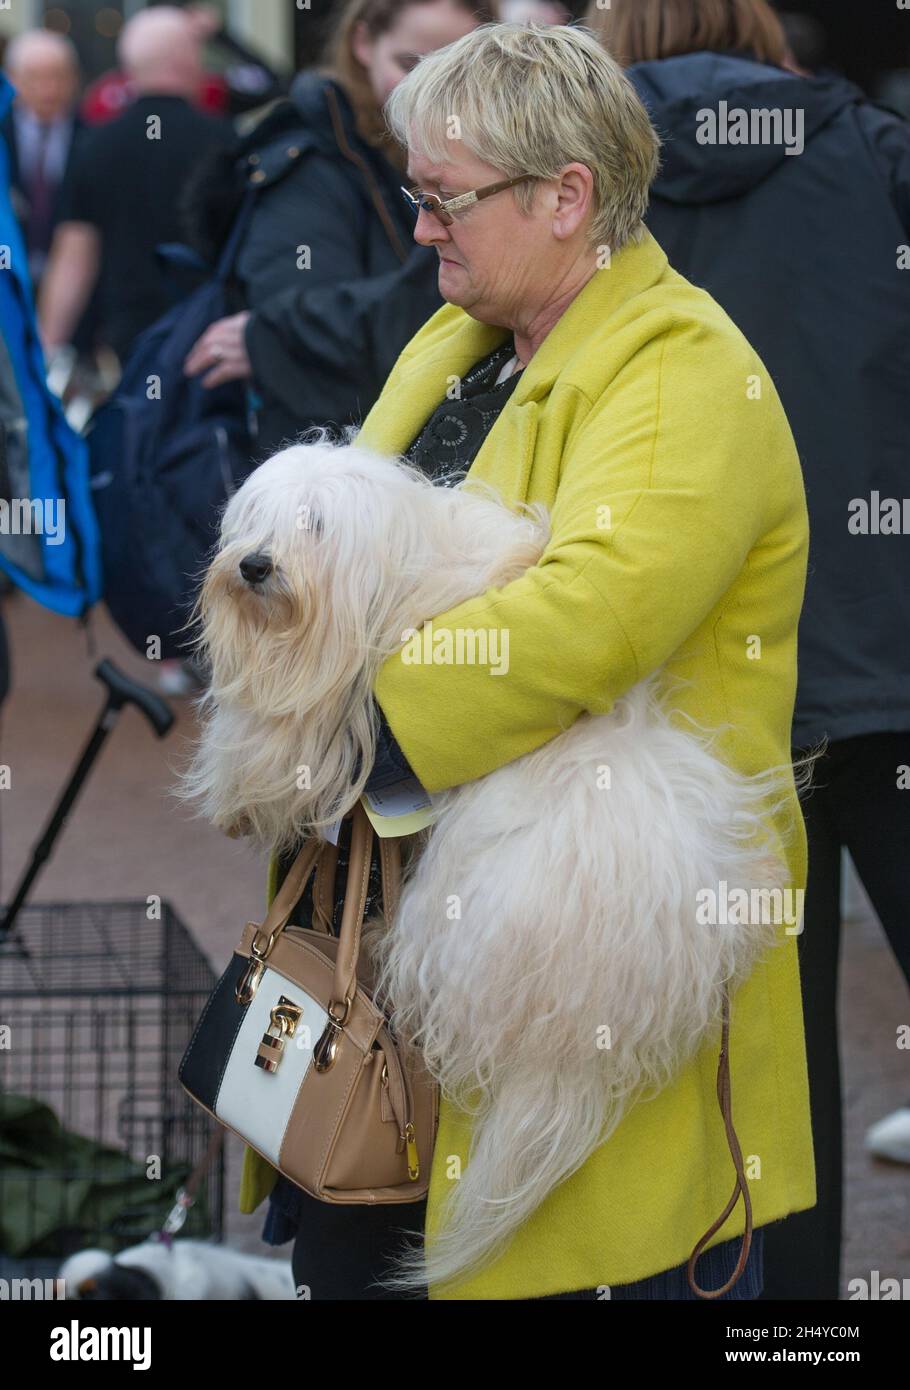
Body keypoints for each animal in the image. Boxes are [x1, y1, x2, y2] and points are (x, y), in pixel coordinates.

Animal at [187, 430, 800, 1289]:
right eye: (255, 520)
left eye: (314, 525)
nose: (252, 566)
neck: (398, 559)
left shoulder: (341, 701)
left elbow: (273, 737)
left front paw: (237, 789)